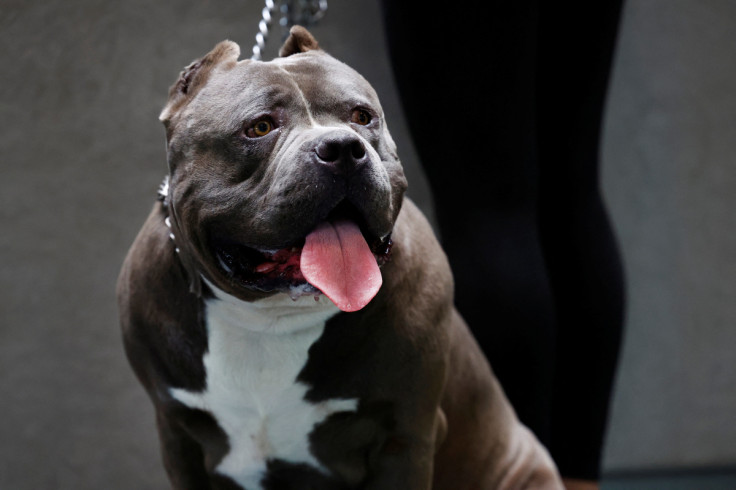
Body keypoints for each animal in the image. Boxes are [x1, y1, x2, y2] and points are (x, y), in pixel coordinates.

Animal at [118, 26, 560, 490]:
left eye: (362, 117)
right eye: (260, 127)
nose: (344, 148)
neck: (270, 317)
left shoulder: (405, 437)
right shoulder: (178, 435)